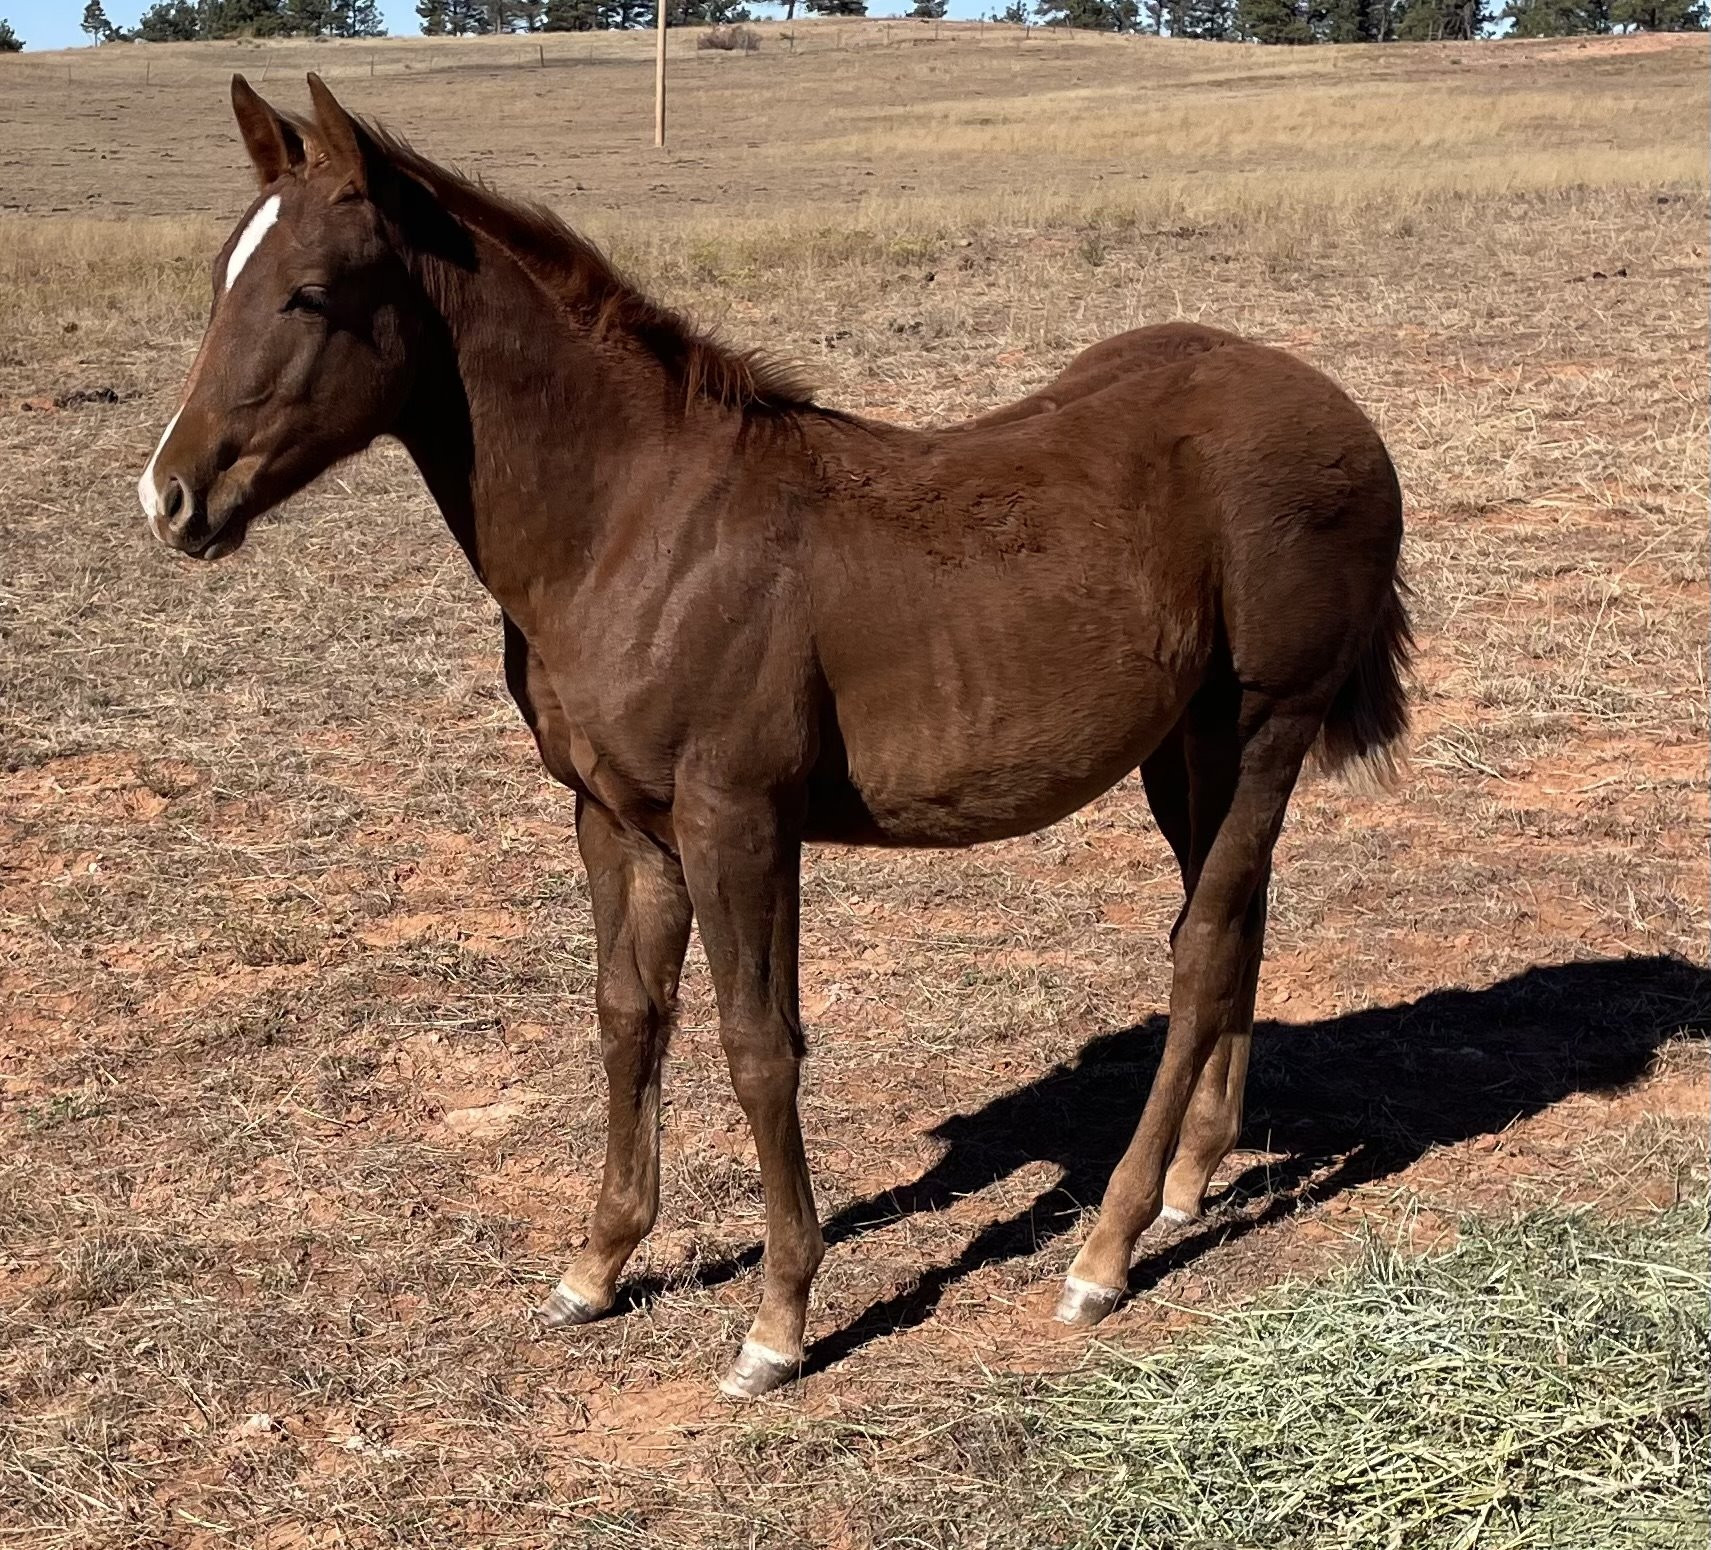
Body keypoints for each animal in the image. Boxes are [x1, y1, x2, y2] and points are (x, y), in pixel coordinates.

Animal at [140, 75, 1409, 1402]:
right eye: (219, 280)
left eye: (308, 292)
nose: (171, 496)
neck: (637, 524)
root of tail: (1342, 413)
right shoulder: (616, 818)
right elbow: (627, 1015)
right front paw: (596, 1266)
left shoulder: (736, 817)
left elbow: (759, 1044)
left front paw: (778, 1320)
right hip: (1184, 749)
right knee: (1239, 918)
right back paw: (1187, 1182)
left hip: (1266, 722)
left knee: (1201, 946)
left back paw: (1102, 1253)